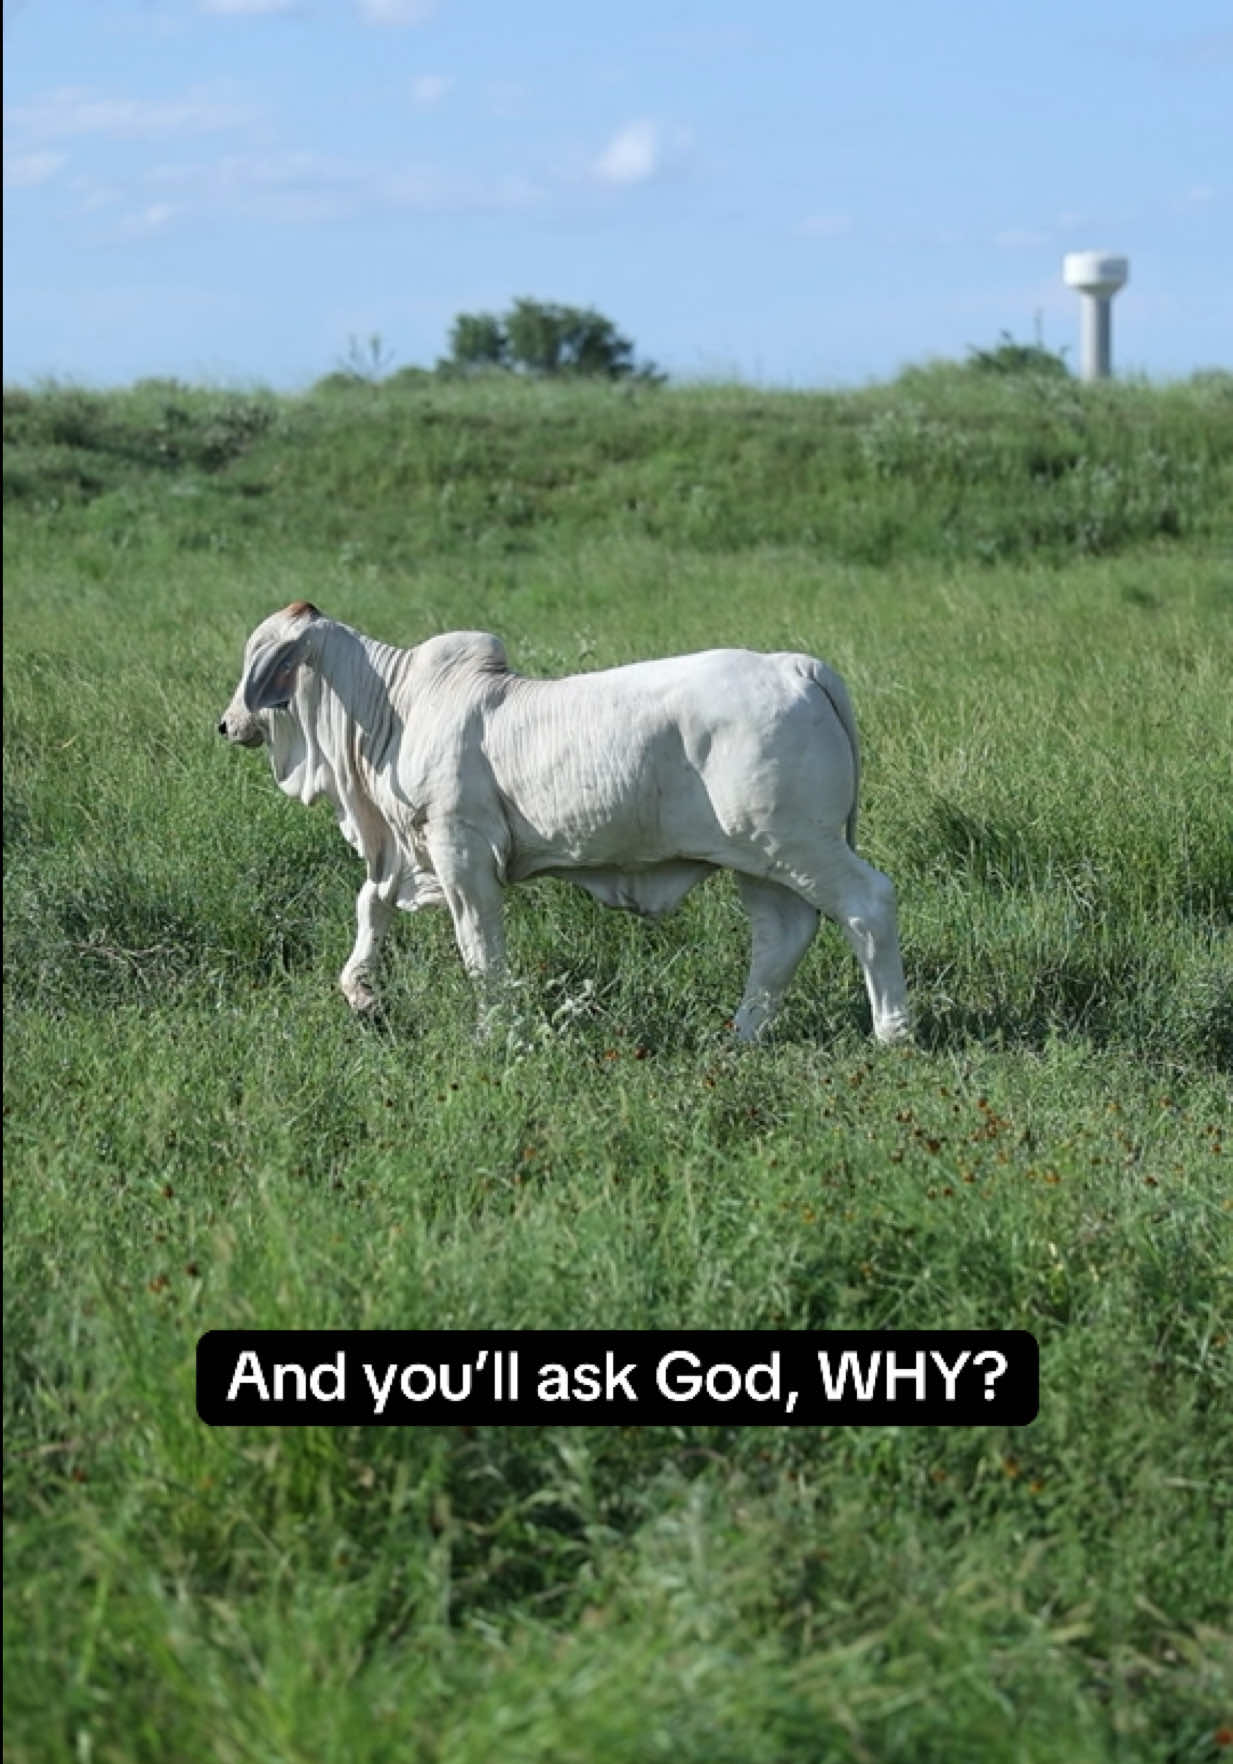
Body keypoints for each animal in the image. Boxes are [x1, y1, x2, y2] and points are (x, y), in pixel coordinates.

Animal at [218, 602, 911, 1045]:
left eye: (256, 655)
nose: (227, 723)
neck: (393, 710)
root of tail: (795, 665)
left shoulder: (458, 847)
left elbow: (480, 948)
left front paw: (494, 1033)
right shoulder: (406, 851)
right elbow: (372, 903)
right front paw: (361, 992)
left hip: (798, 842)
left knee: (867, 904)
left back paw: (892, 1033)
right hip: (759, 858)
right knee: (781, 935)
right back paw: (742, 1035)